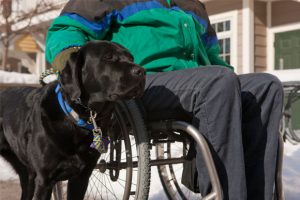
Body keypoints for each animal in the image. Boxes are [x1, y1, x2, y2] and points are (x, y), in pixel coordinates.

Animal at [0, 39, 145, 199]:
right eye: (108, 57)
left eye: (131, 58)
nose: (141, 71)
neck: (76, 119)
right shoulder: (44, 180)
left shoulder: (81, 177)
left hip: (27, 172)